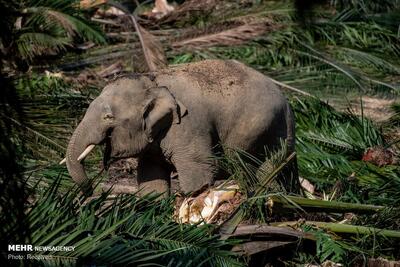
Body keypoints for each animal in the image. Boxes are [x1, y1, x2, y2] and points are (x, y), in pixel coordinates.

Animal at [65, 59, 296, 197]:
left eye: (108, 117)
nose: (92, 192)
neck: (152, 80)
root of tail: (286, 101)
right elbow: (151, 177)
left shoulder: (188, 125)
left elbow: (200, 171)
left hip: (256, 127)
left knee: (244, 163)